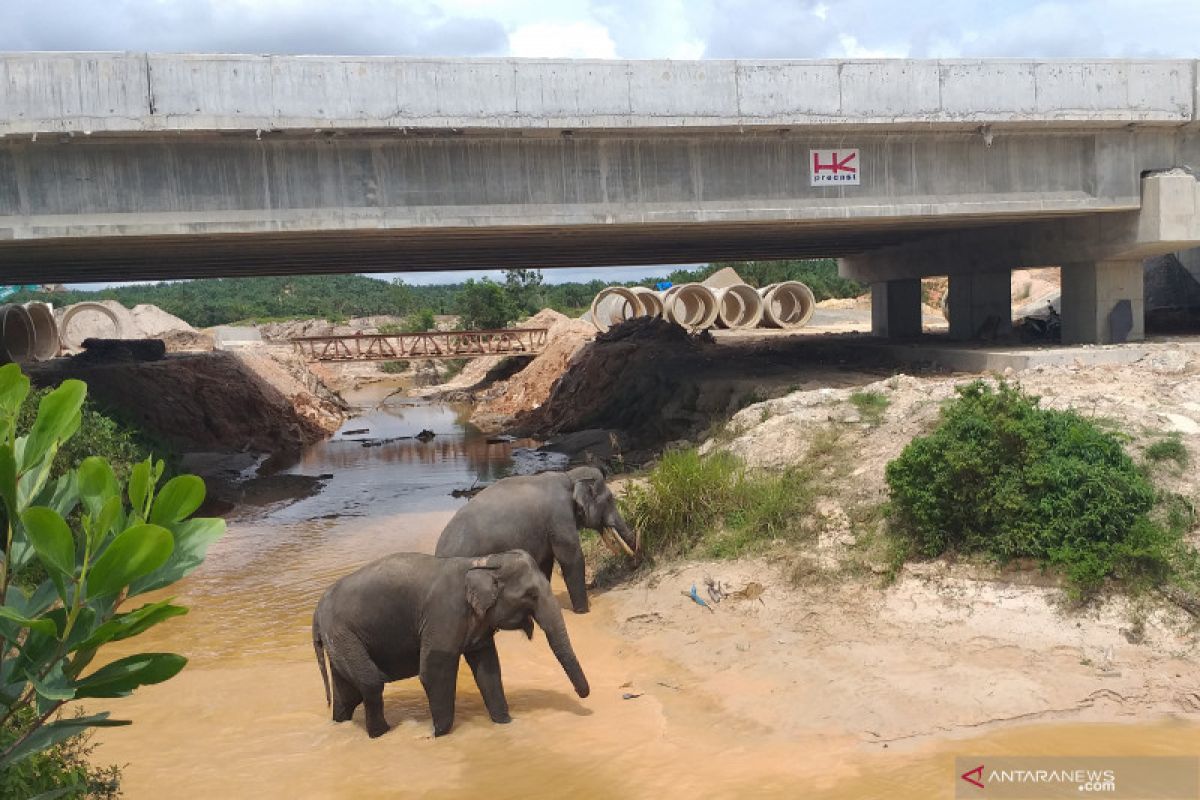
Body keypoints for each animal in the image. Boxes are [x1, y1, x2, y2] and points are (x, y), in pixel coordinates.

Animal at [309, 551, 590, 738]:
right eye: (531, 595)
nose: (584, 697)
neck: (482, 563)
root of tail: (317, 613)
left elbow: (488, 669)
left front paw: (505, 723)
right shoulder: (445, 614)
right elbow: (434, 671)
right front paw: (438, 735)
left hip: (341, 641)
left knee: (348, 692)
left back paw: (342, 723)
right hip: (343, 634)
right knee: (370, 683)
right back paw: (383, 734)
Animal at [434, 465, 638, 618]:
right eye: (610, 499)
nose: (635, 564)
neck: (569, 476)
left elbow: (545, 562)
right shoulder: (559, 517)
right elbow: (571, 558)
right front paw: (583, 612)